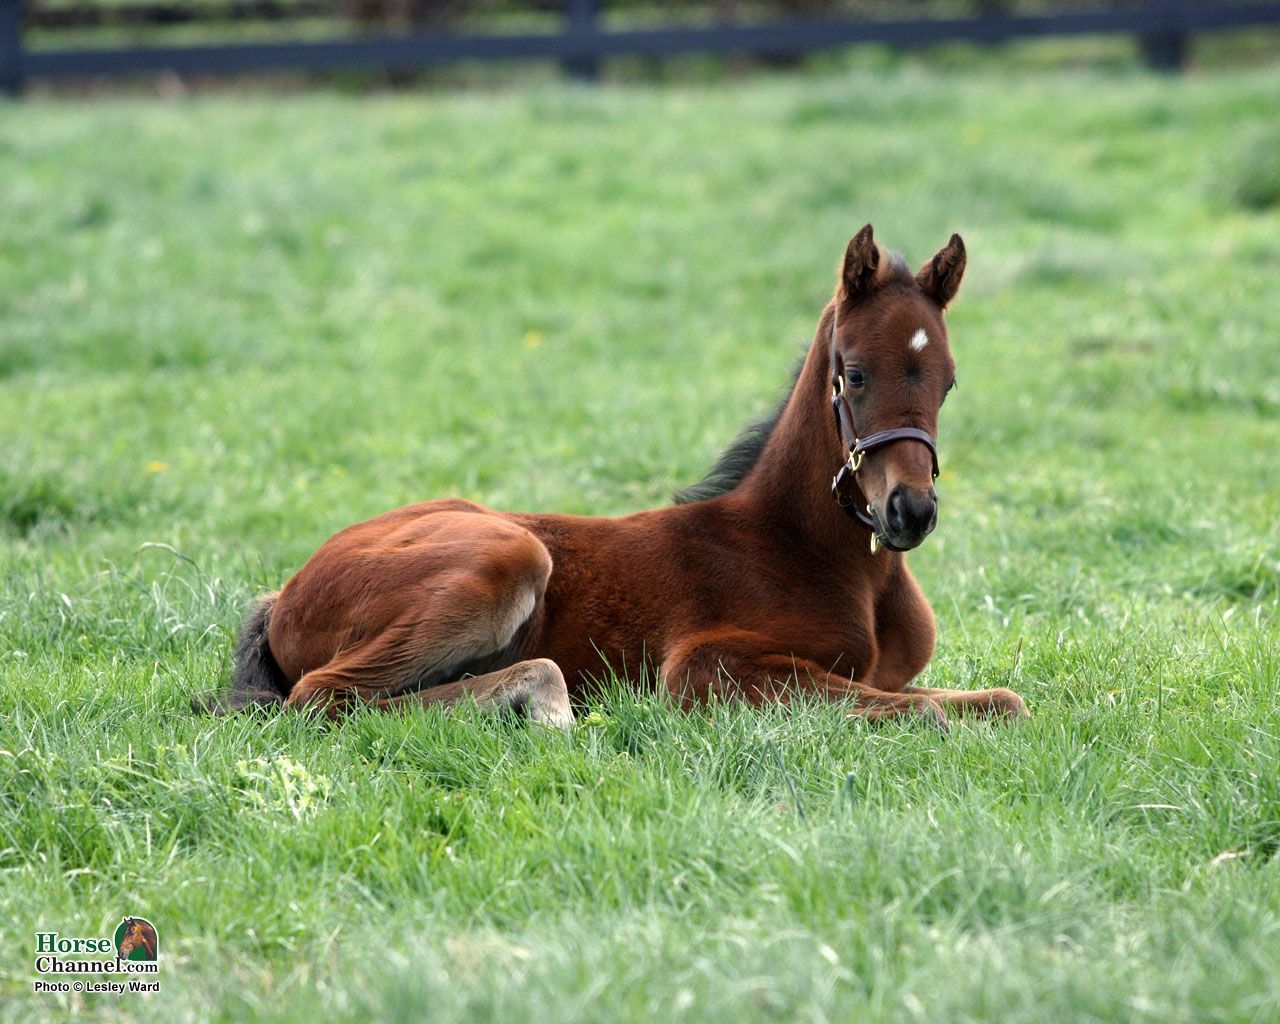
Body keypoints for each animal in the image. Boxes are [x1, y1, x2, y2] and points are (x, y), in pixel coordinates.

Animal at [209, 226, 1029, 727]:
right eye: (854, 374)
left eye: (948, 383)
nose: (910, 512)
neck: (823, 558)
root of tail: (285, 591)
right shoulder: (706, 668)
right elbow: (938, 708)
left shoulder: (888, 674)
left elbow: (995, 700)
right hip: (507, 553)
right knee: (325, 697)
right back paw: (547, 705)